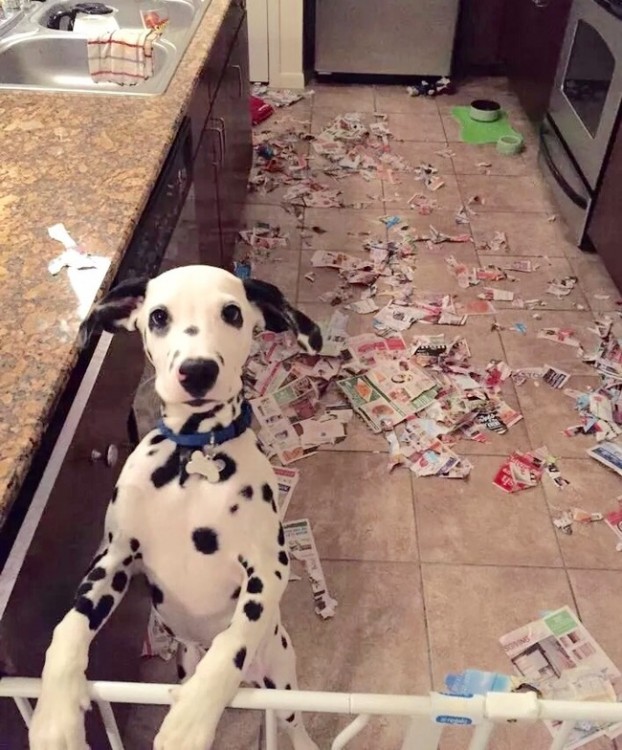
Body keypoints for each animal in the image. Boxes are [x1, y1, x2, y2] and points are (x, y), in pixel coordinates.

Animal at [28, 266, 322, 750]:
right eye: (159, 316)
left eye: (232, 312)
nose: (197, 371)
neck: (195, 452)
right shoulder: (112, 559)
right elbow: (68, 627)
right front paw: (54, 715)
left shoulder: (267, 570)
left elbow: (233, 643)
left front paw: (190, 722)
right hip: (185, 660)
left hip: (280, 671)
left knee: (291, 717)